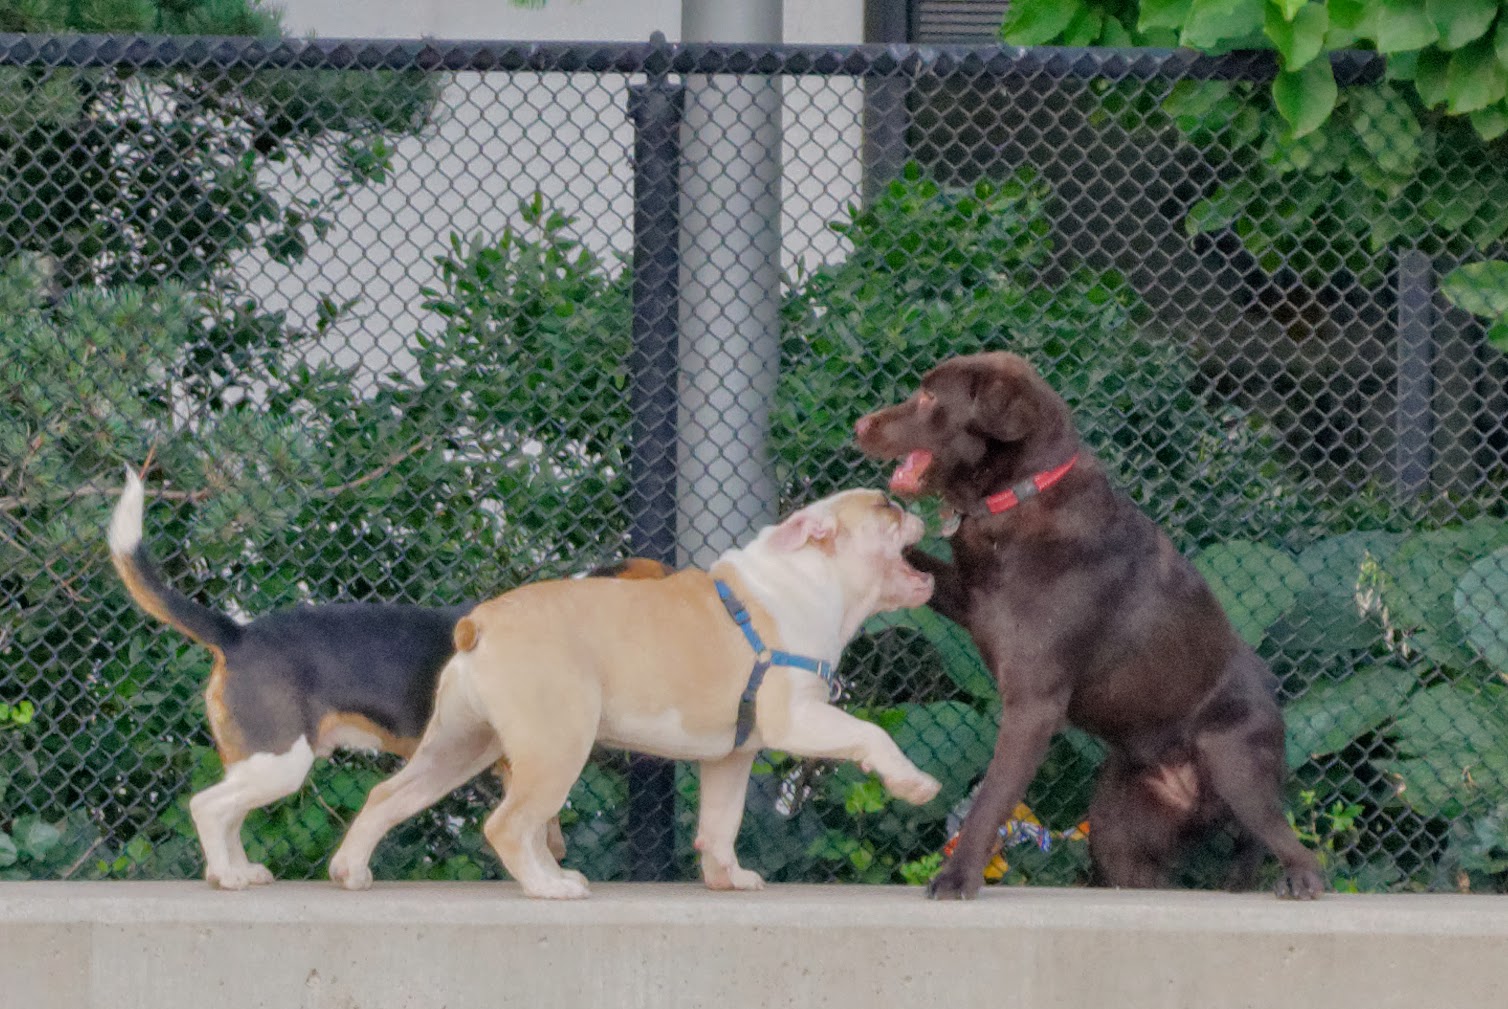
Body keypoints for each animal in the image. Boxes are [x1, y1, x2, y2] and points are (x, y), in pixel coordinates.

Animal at [109, 467, 669, 886]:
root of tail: (238, 633)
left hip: (256, 764)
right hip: (280, 762)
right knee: (207, 807)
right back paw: (228, 876)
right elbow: (534, 827)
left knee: (228, 813)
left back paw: (239, 872)